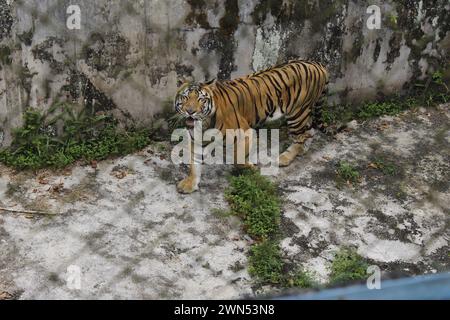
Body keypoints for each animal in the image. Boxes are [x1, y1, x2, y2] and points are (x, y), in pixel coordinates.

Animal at [174, 60, 328, 195]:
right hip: (302, 114)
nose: (190, 111)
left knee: (302, 136)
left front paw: (250, 167)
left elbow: (237, 159)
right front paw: (190, 184)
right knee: (309, 131)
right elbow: (194, 164)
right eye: (185, 97)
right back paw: (302, 150)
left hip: (297, 113)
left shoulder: (245, 133)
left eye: (201, 99)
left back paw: (285, 158)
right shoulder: (195, 139)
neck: (203, 124)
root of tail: (317, 63)